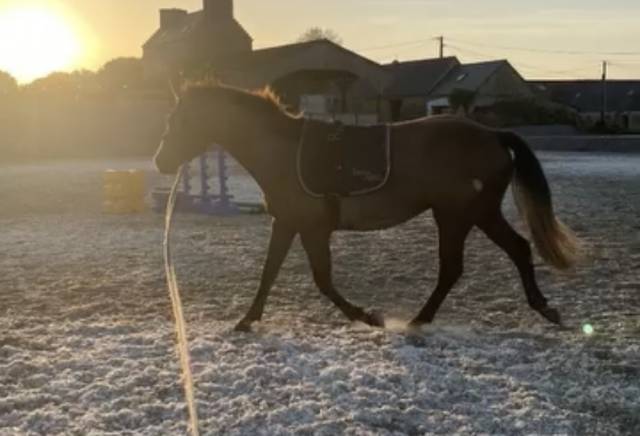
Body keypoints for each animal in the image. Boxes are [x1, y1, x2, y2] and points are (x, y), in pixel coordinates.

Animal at [154, 83, 580, 332]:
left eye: (182, 119)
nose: (160, 162)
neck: (283, 151)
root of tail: (492, 134)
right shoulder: (287, 222)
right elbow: (269, 272)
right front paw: (247, 319)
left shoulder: (312, 228)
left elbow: (323, 280)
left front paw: (367, 316)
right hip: (474, 214)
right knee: (512, 251)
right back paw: (541, 308)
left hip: (459, 215)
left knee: (458, 266)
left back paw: (421, 319)